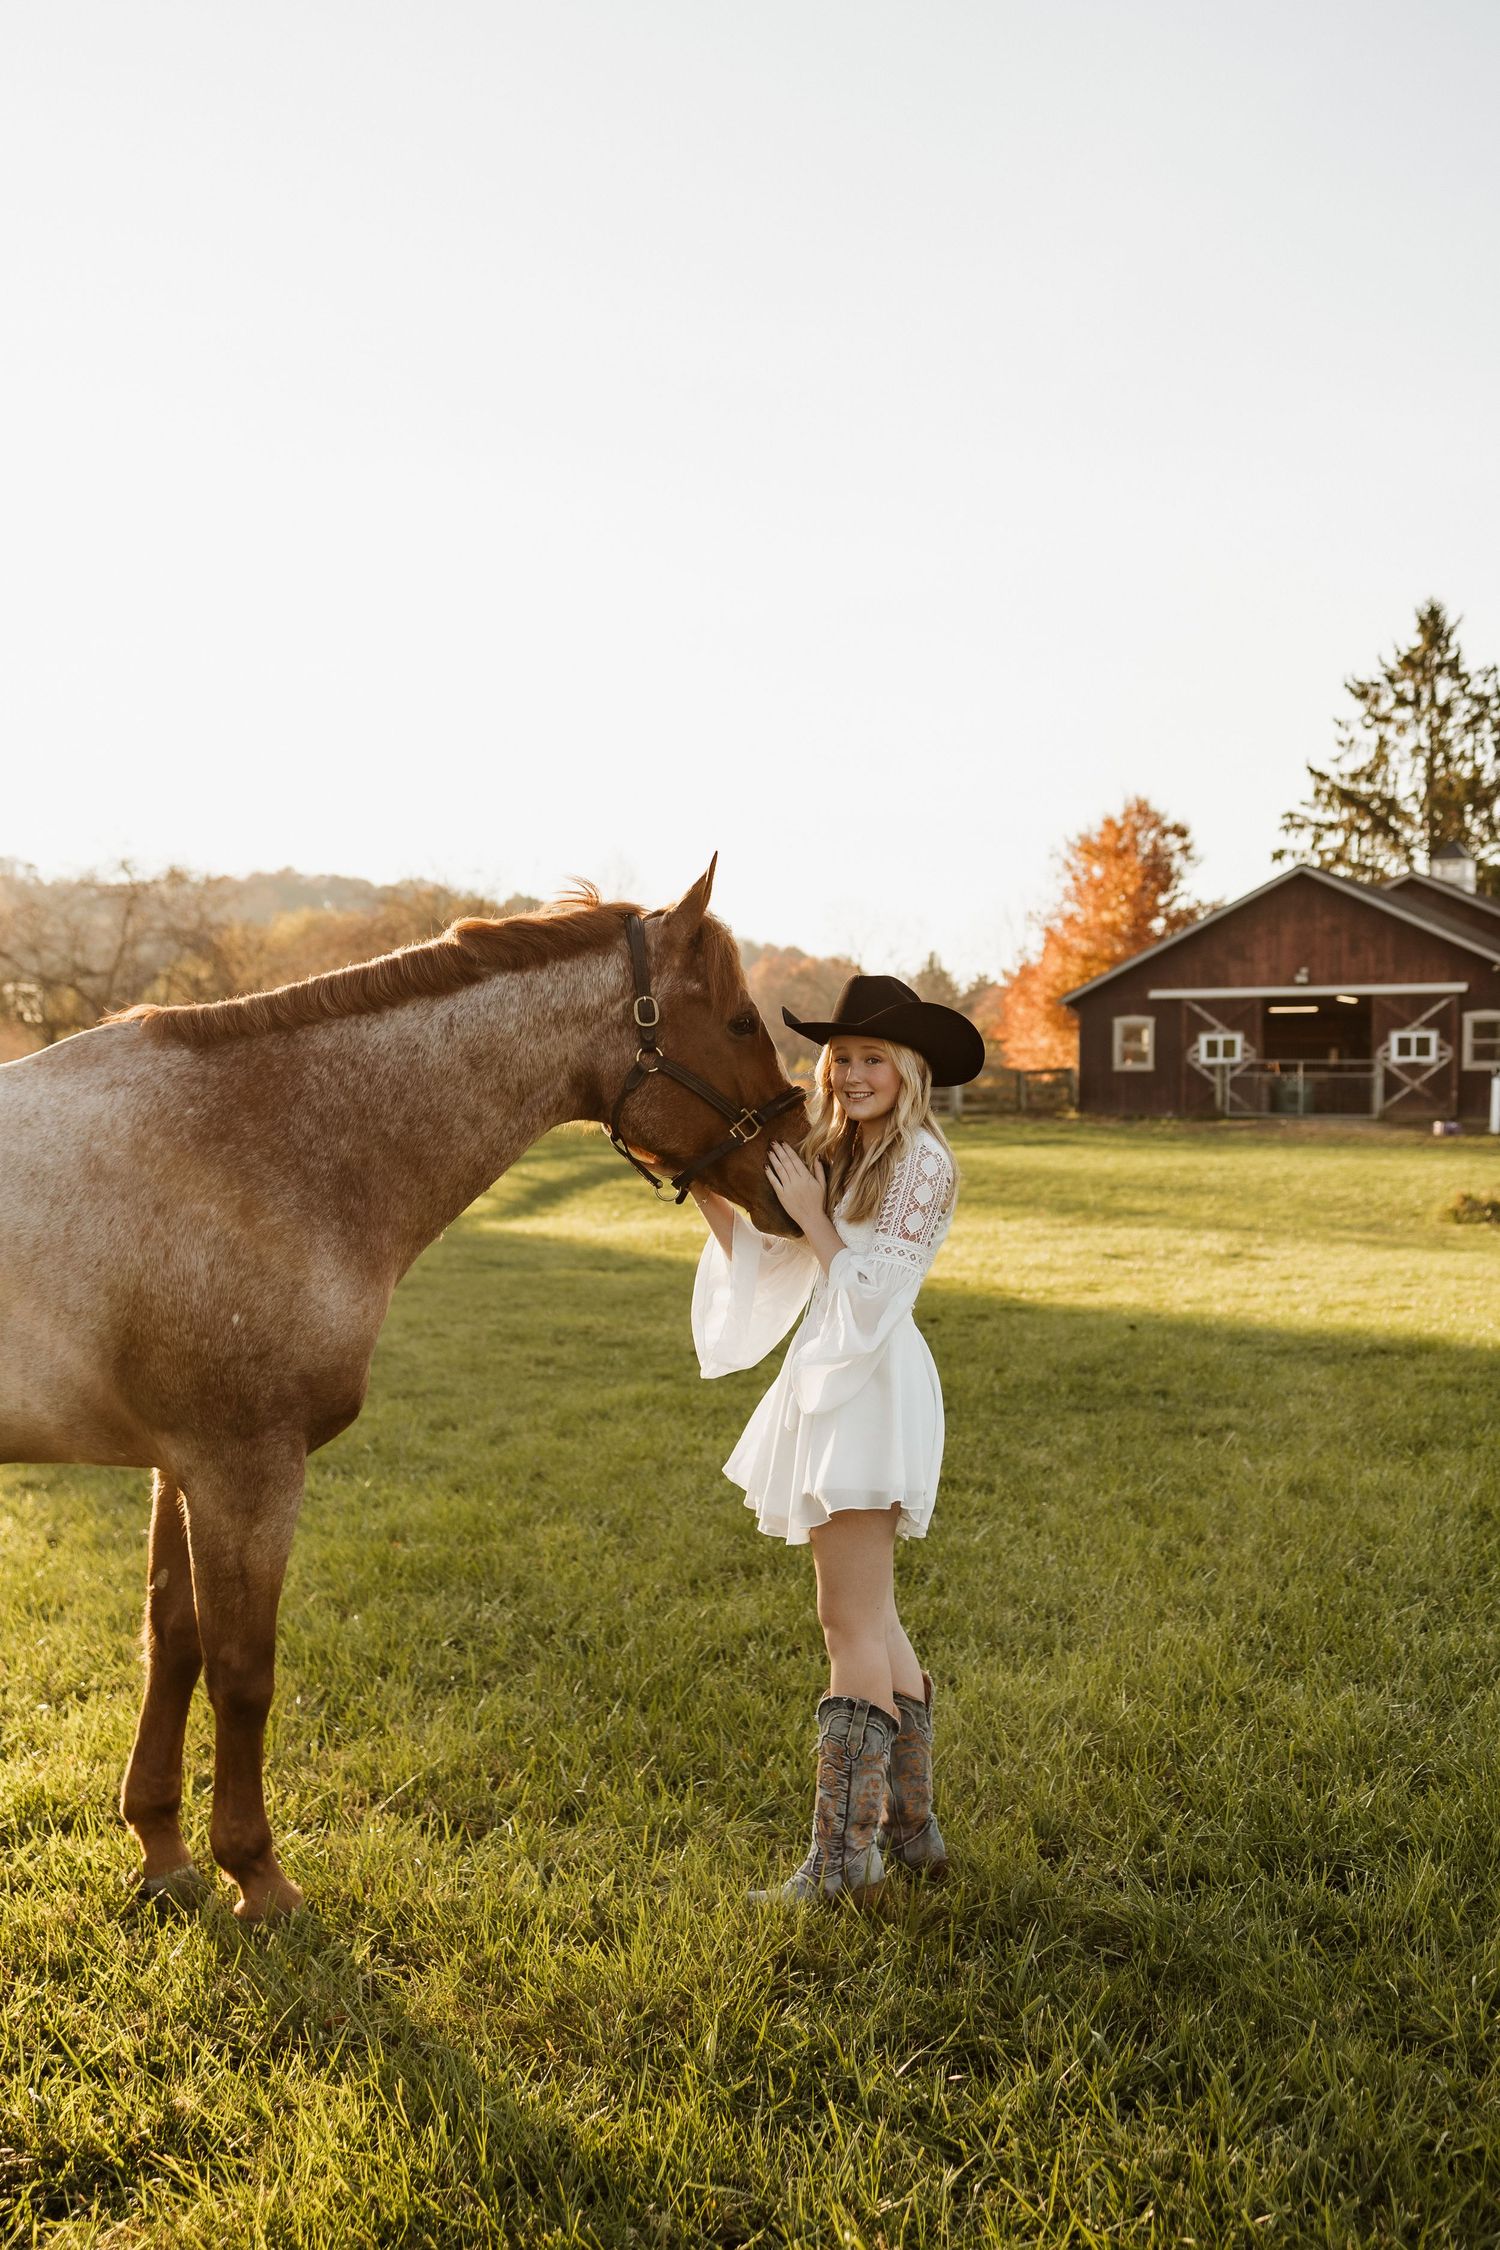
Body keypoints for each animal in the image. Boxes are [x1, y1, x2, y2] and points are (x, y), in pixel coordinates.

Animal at [0, 859, 805, 1920]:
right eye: (745, 1022)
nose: (807, 1167)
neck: (259, 1147)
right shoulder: (245, 1469)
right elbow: (243, 1671)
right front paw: (257, 1873)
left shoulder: (183, 1467)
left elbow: (172, 1644)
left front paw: (164, 1850)